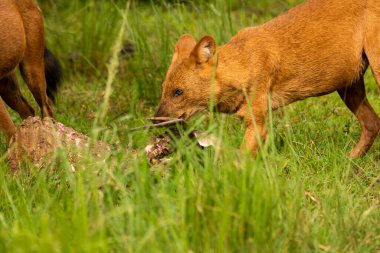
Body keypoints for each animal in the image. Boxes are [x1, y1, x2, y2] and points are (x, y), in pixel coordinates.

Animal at [154, 0, 380, 157]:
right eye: (163, 89)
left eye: (178, 92)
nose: (155, 120)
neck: (243, 63)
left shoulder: (257, 123)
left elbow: (241, 161)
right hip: (349, 85)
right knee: (372, 123)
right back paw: (350, 160)